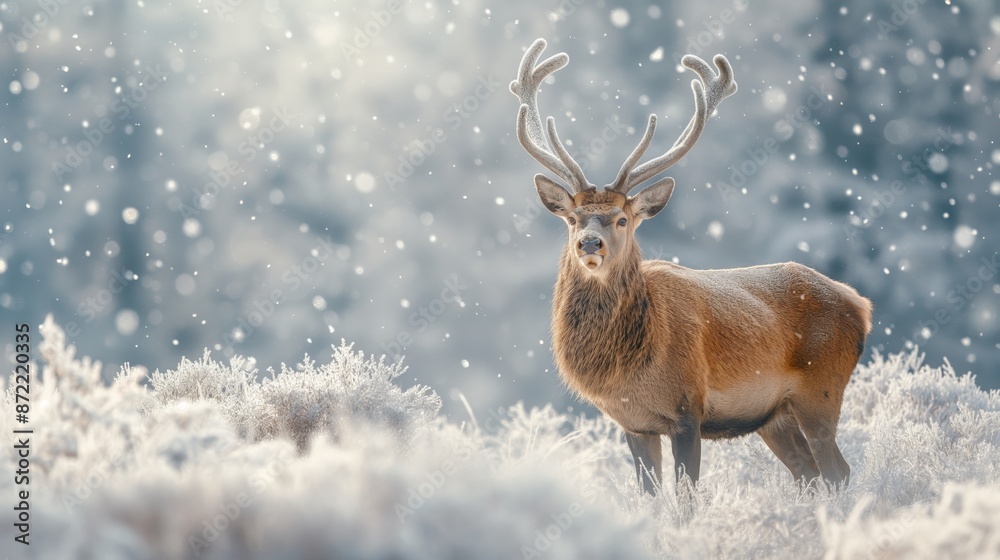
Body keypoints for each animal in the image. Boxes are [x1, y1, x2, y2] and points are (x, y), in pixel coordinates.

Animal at [510, 38, 872, 496]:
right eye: (572, 218)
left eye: (622, 219)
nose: (589, 243)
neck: (628, 370)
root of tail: (860, 305)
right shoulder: (634, 424)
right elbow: (650, 498)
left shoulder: (687, 410)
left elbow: (686, 499)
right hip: (775, 415)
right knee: (808, 473)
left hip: (821, 390)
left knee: (838, 471)